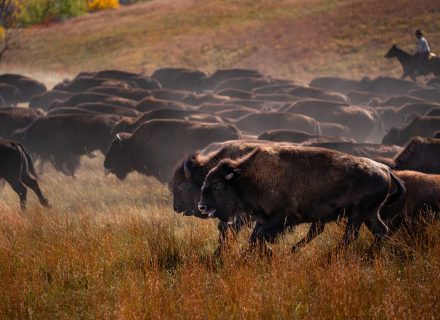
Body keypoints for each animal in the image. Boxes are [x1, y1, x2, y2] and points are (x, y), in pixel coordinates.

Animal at [199, 144, 406, 251]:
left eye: (217, 184)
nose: (202, 206)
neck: (245, 178)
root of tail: (384, 169)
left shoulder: (278, 220)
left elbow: (258, 237)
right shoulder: (264, 220)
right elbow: (255, 238)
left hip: (358, 213)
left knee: (351, 236)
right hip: (370, 213)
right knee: (381, 231)